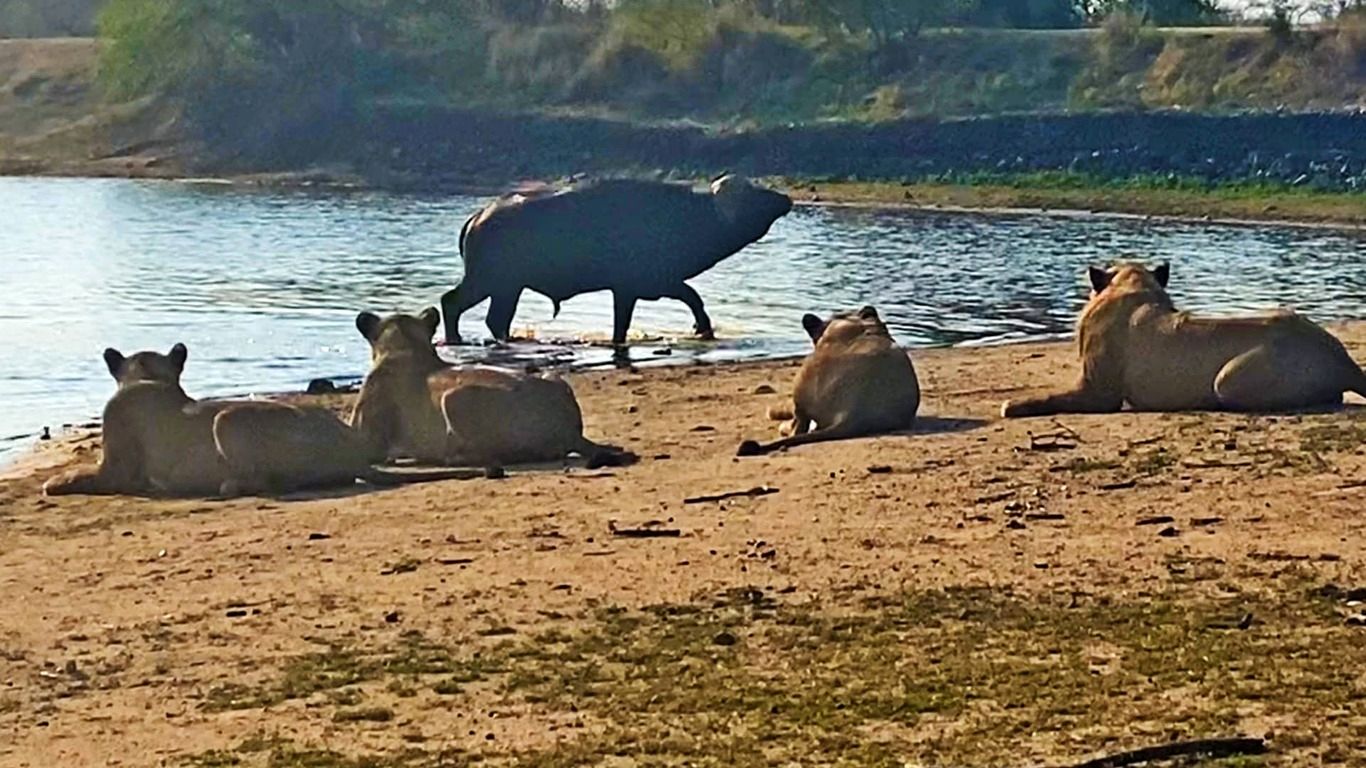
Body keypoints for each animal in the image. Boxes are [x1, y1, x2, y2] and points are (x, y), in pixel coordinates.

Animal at [442, 173, 797, 344]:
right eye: (754, 193)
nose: (786, 198)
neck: (691, 216)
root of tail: (479, 217)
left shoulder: (643, 288)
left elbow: (689, 299)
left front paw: (702, 327)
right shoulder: (639, 286)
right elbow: (688, 298)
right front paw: (702, 328)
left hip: (508, 288)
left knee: (495, 319)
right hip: (488, 281)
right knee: (452, 303)